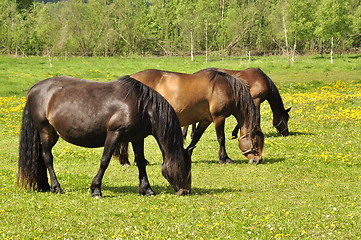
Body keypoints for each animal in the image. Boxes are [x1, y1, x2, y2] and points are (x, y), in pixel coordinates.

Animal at [17, 75, 191, 197]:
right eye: (184, 167)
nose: (186, 191)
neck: (141, 105)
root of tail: (34, 89)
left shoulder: (137, 138)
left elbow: (141, 162)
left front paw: (147, 189)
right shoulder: (114, 134)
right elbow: (104, 161)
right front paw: (95, 190)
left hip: (53, 134)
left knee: (41, 157)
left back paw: (45, 186)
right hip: (45, 131)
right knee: (48, 158)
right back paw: (56, 187)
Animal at [116, 68, 262, 164]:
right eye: (256, 142)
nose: (258, 160)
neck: (225, 88)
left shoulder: (206, 120)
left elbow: (196, 137)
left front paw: (188, 152)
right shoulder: (218, 117)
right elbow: (221, 138)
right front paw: (224, 158)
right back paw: (128, 161)